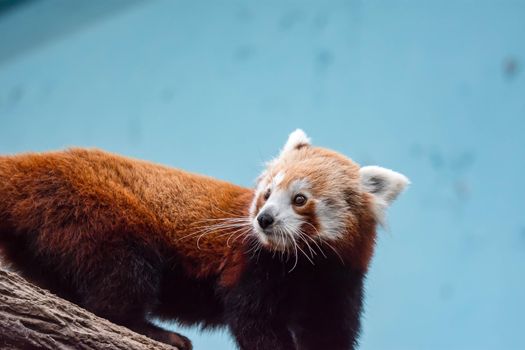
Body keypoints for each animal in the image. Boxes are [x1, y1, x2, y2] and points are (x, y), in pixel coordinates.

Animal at [0, 131, 410, 350]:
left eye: (299, 199)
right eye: (266, 193)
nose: (263, 219)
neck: (304, 265)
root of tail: (32, 163)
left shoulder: (340, 282)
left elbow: (330, 332)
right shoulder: (253, 267)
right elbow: (253, 321)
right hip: (97, 213)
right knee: (119, 286)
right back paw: (156, 332)